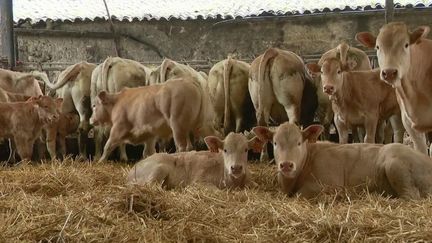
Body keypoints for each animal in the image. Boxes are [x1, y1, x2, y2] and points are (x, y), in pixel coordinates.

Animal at [90, 77, 219, 162]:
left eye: (94, 105)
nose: (91, 120)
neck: (117, 102)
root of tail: (190, 81)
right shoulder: (149, 135)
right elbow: (148, 152)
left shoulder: (118, 129)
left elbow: (108, 146)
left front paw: (100, 161)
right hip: (202, 124)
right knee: (214, 137)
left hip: (178, 126)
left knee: (182, 146)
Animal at [126, 133, 264, 190]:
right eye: (225, 150)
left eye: (246, 150)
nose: (236, 168)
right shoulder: (199, 181)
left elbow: (256, 186)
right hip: (159, 169)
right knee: (151, 186)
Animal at [251, 122, 432, 200]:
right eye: (275, 143)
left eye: (299, 143)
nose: (286, 165)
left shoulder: (331, 185)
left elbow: (300, 195)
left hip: (395, 166)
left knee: (411, 196)